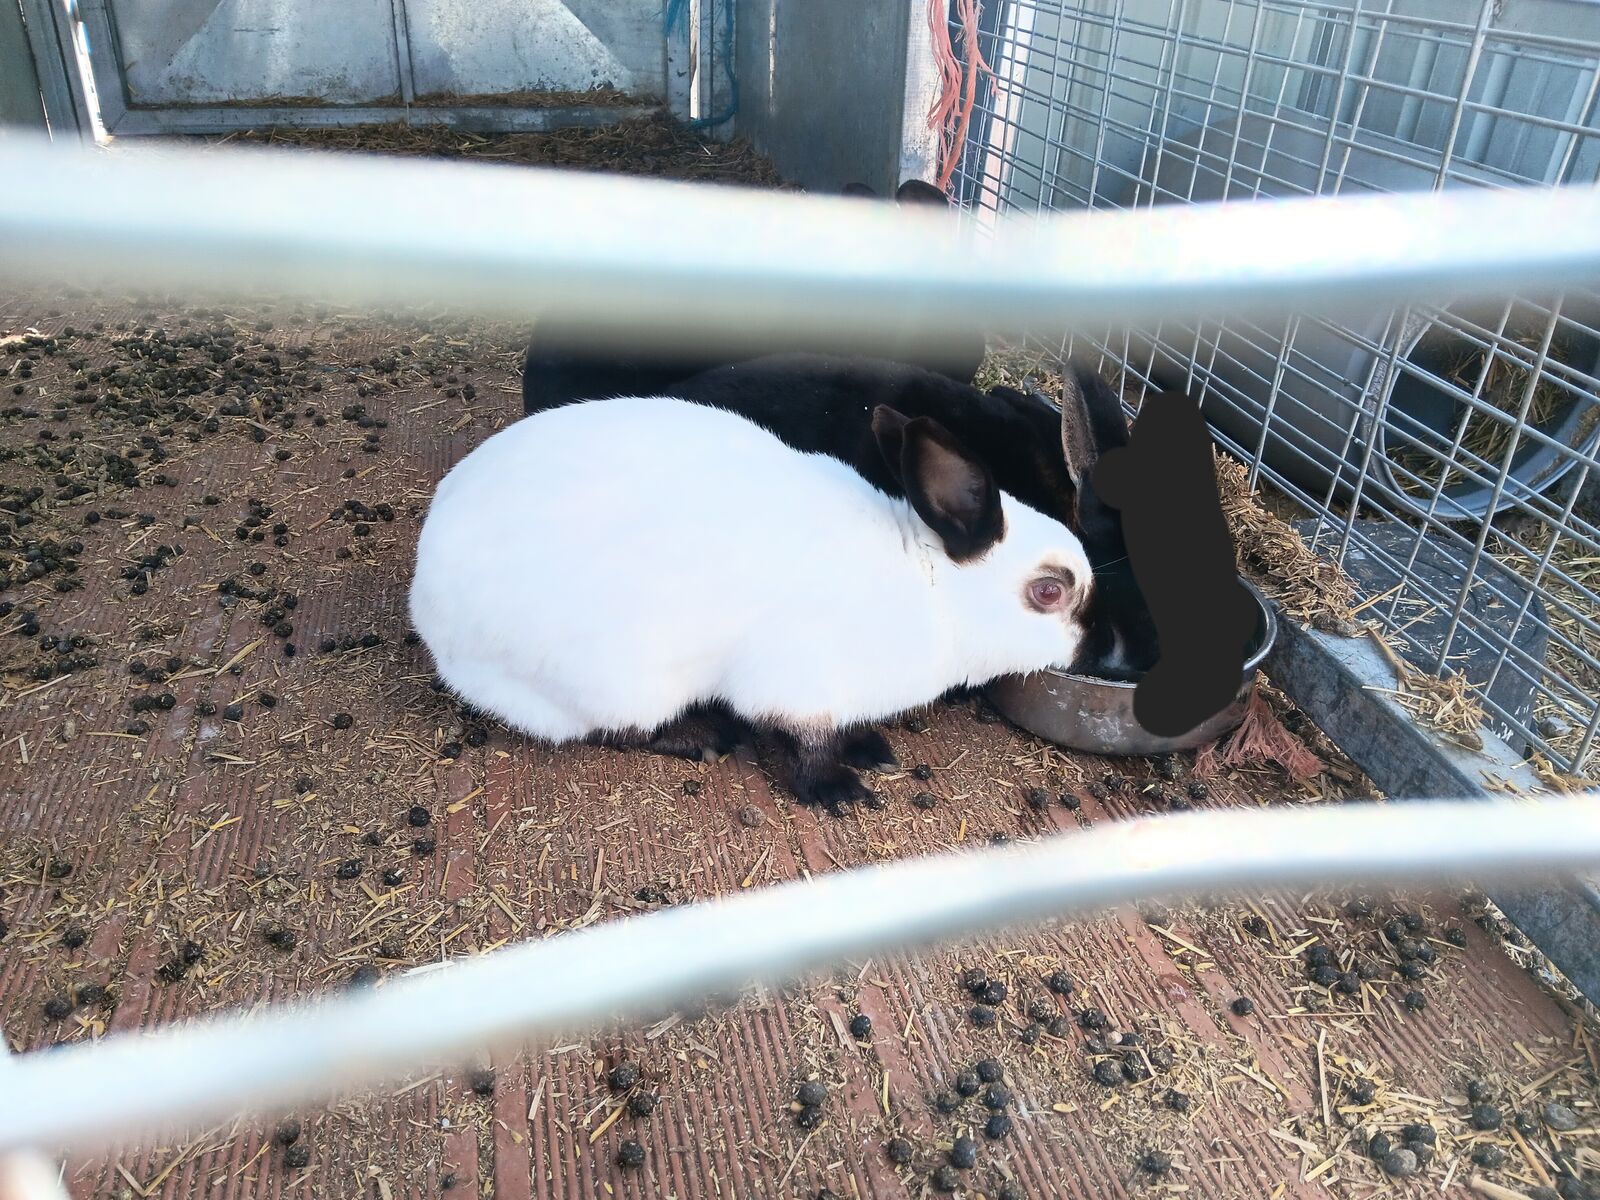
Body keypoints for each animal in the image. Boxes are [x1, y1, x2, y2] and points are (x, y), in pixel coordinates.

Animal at [410, 395, 1094, 813]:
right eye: (1049, 591)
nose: (1090, 645)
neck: (928, 586)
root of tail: (428, 611)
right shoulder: (797, 682)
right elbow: (806, 741)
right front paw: (839, 789)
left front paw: (871, 749)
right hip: (615, 682)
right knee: (620, 729)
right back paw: (703, 737)